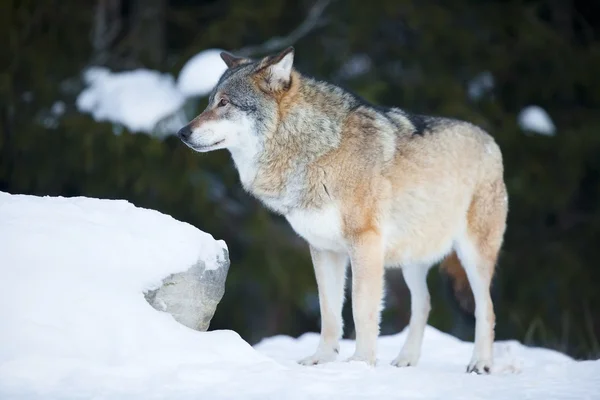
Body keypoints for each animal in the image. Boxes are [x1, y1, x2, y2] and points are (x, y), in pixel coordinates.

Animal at [177, 47, 506, 376]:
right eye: (209, 102)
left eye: (224, 103)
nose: (182, 132)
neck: (314, 149)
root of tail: (491, 141)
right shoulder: (324, 249)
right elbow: (329, 312)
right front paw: (322, 360)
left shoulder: (364, 243)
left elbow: (361, 309)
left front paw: (361, 362)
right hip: (411, 260)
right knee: (424, 303)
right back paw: (406, 359)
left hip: (472, 256)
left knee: (486, 308)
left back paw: (481, 363)